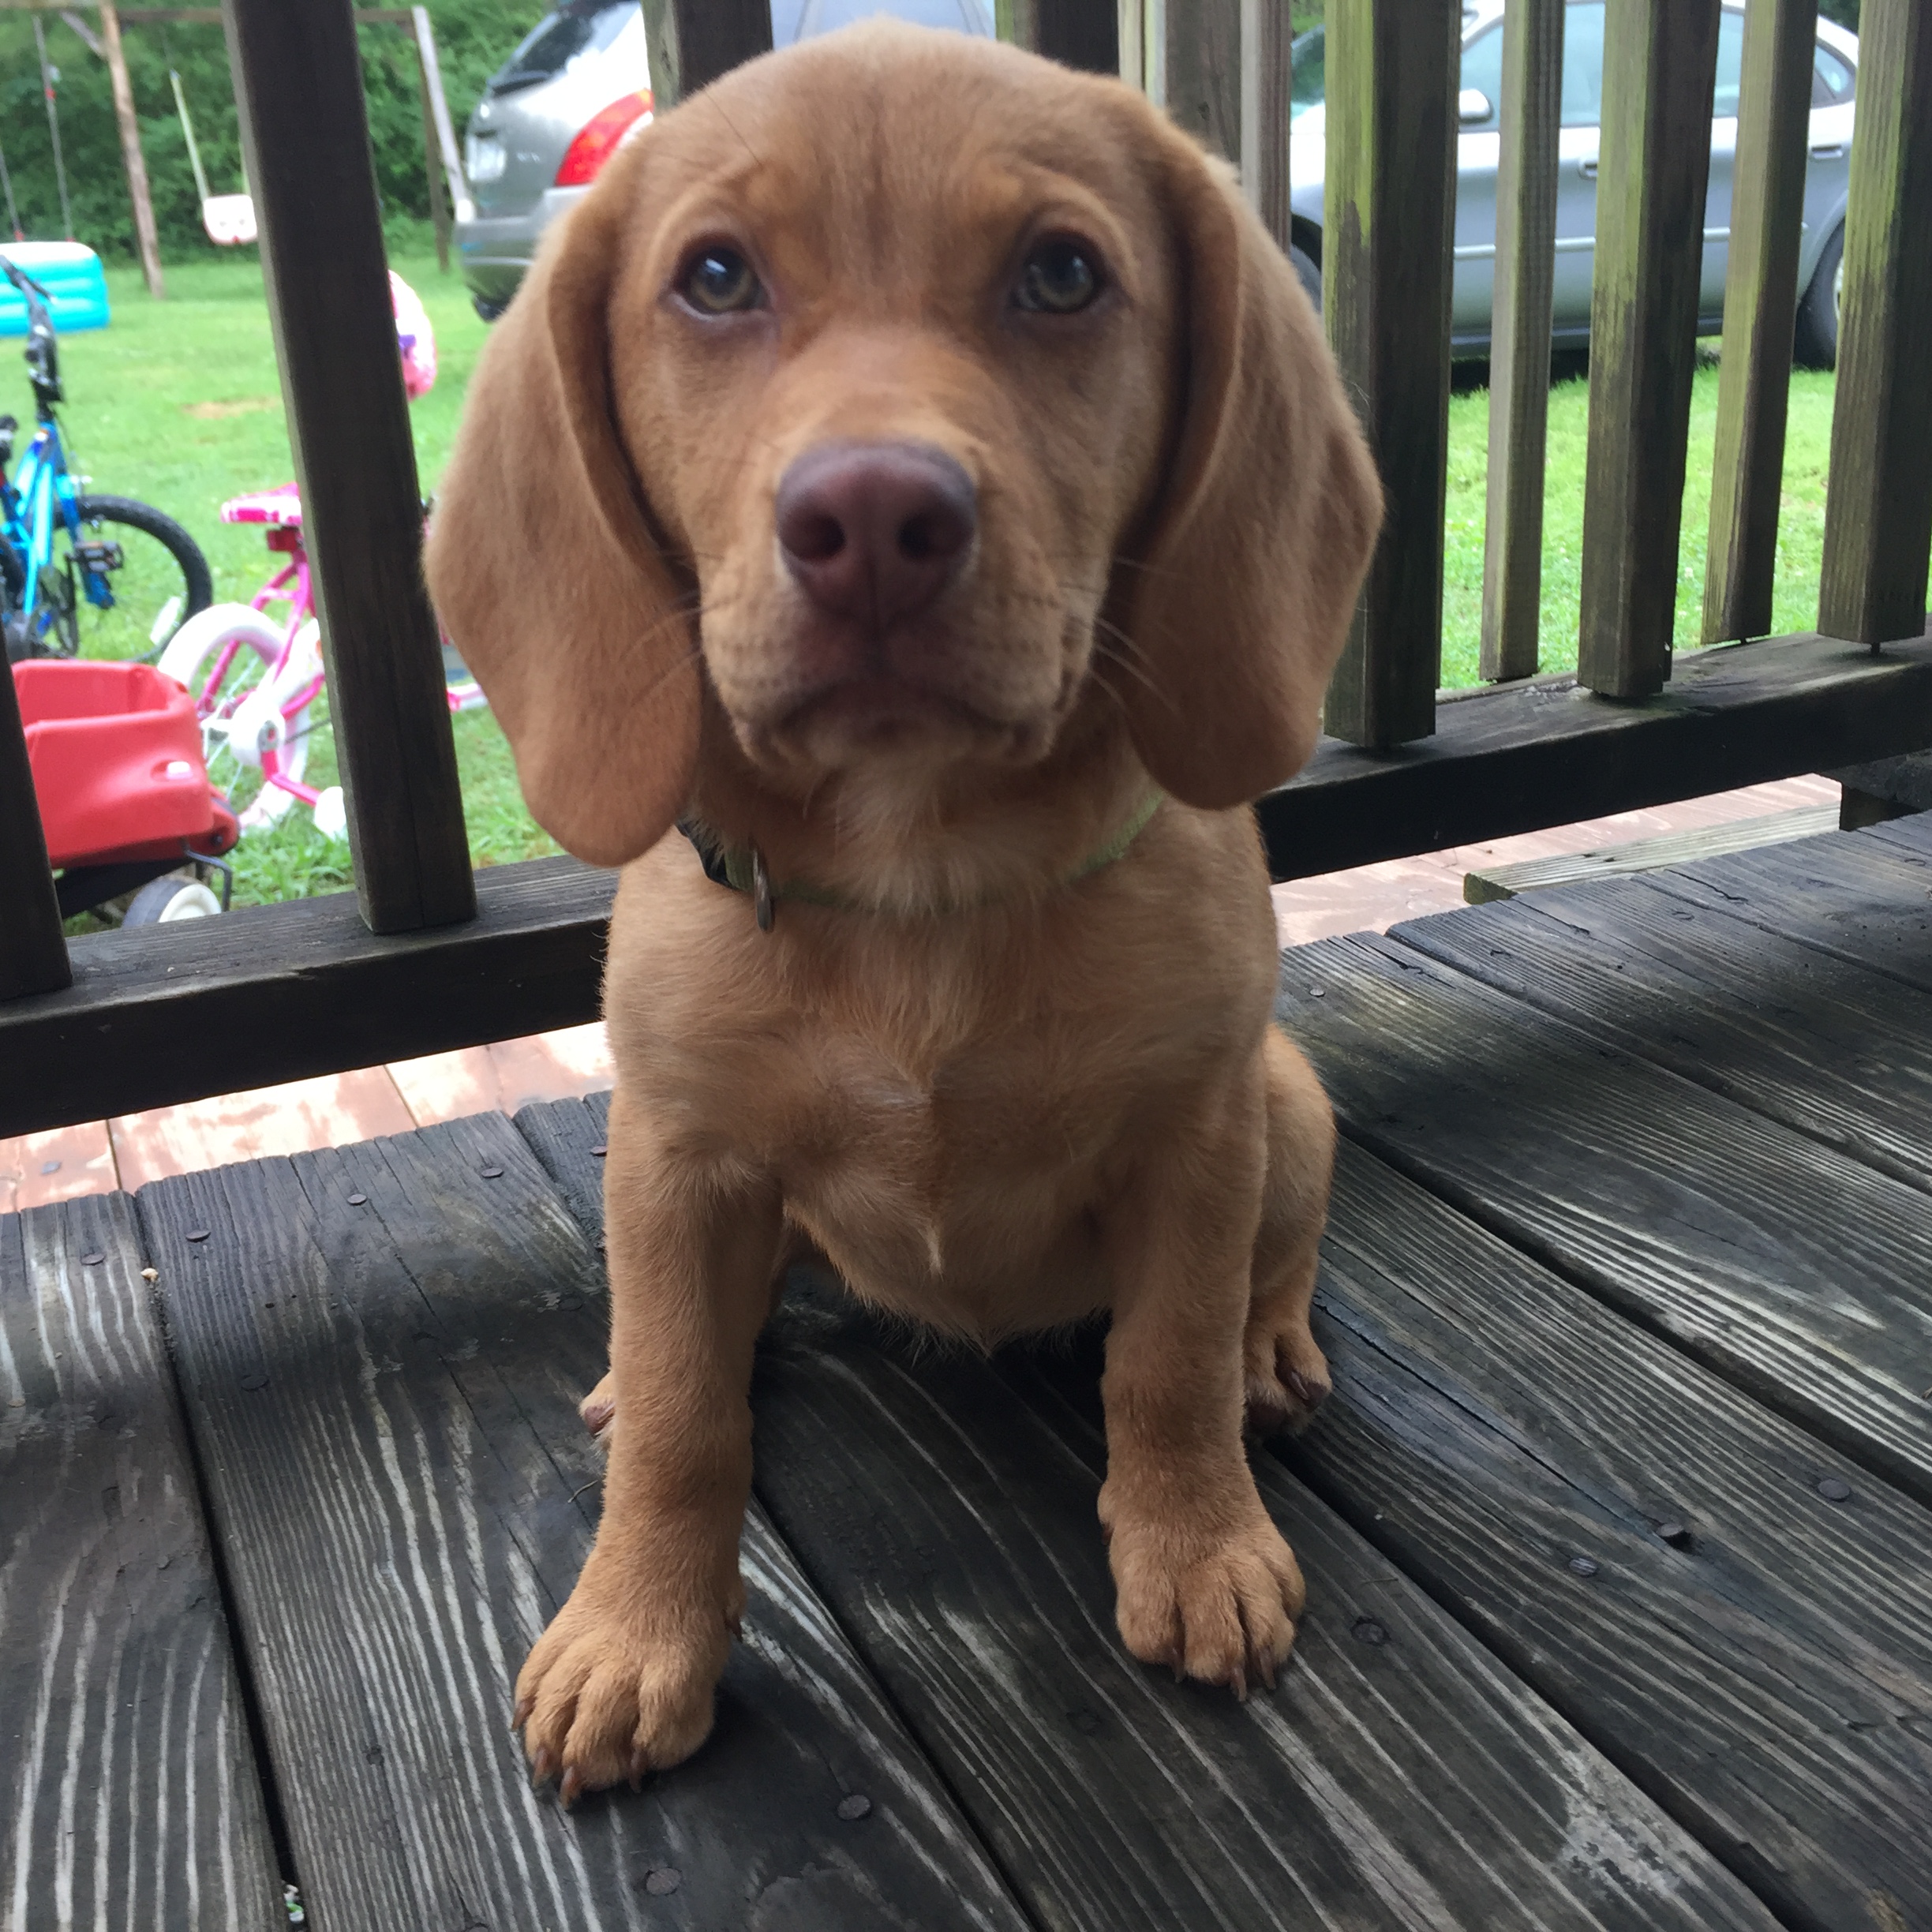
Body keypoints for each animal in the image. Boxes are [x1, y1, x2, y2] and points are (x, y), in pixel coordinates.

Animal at [430, 18, 1383, 1792]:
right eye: (714, 278)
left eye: (1063, 273)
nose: (873, 519)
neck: (920, 880)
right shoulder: (676, 1157)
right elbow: (686, 1424)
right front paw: (634, 1626)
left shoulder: (1195, 1137)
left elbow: (1164, 1362)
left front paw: (1198, 1539)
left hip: (1282, 1104)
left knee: (1269, 1267)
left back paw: (1273, 1349)